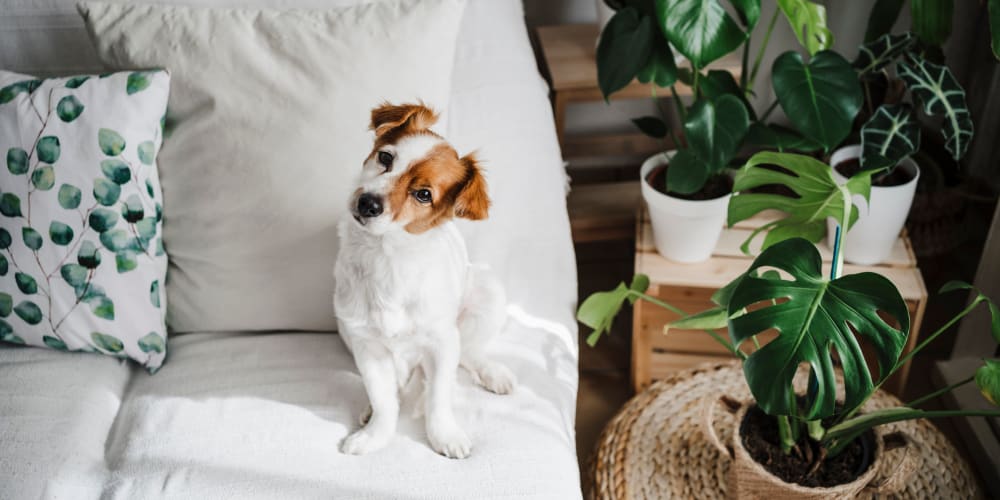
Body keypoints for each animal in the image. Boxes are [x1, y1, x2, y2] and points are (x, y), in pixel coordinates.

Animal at [334, 103, 512, 458]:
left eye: (423, 194)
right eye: (386, 157)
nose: (367, 203)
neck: (387, 256)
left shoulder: (441, 343)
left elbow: (438, 398)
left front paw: (444, 435)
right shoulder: (367, 345)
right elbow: (384, 399)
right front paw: (375, 435)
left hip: (487, 293)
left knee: (470, 352)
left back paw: (492, 373)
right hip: (344, 327)